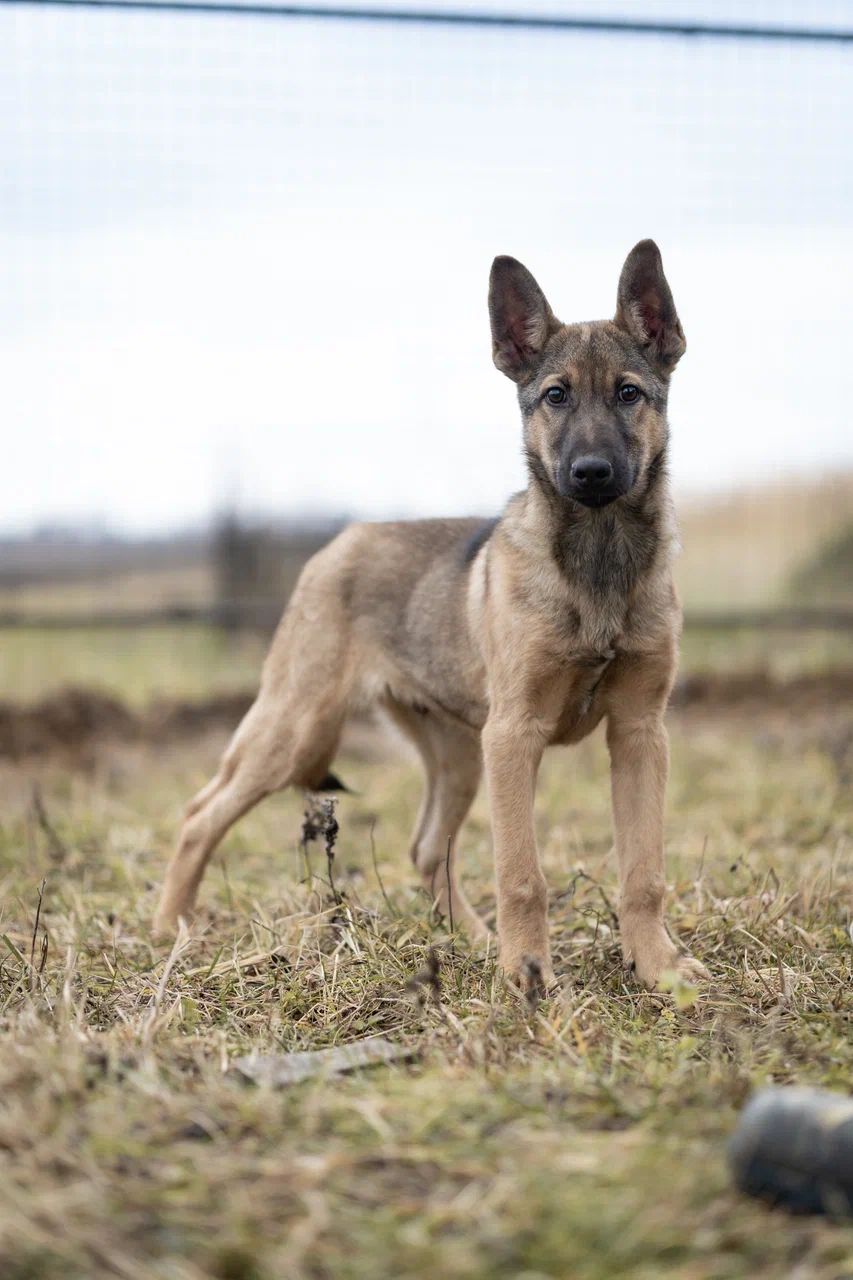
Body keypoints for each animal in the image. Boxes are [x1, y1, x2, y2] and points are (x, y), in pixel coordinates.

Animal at [154, 239, 707, 992]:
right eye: (555, 396)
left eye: (629, 393)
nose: (590, 473)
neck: (597, 560)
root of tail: (336, 544)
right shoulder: (515, 735)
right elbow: (521, 875)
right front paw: (528, 976)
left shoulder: (639, 734)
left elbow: (643, 871)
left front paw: (656, 967)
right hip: (298, 727)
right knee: (198, 814)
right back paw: (169, 930)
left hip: (459, 754)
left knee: (424, 849)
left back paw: (474, 942)